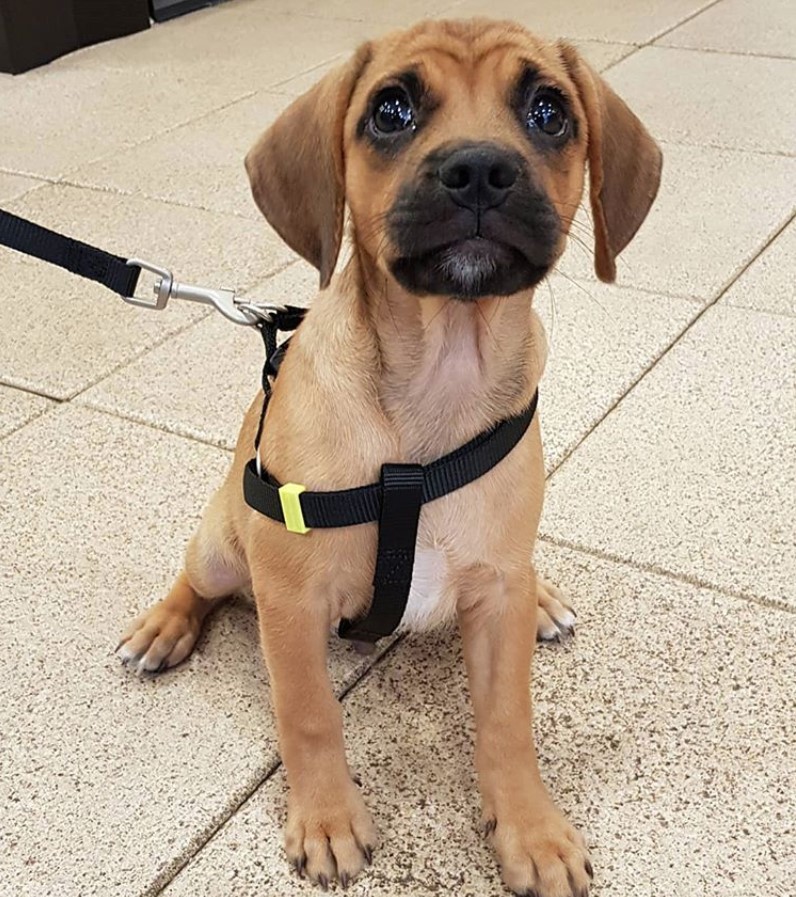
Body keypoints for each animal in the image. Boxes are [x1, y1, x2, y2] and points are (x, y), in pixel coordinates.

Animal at [116, 21, 660, 896]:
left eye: (549, 111)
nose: (480, 171)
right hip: (222, 543)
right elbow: (307, 713)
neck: (437, 380)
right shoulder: (291, 600)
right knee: (198, 581)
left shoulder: (494, 595)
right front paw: (328, 819)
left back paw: (544, 597)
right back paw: (163, 627)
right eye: (391, 109)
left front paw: (532, 829)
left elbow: (507, 722)